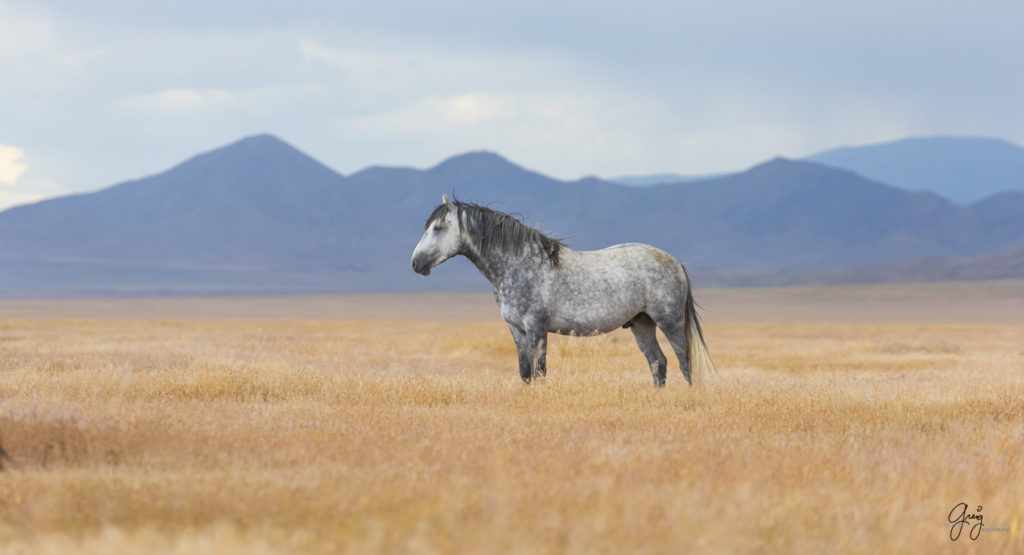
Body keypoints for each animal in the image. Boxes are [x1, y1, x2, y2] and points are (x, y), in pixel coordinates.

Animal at [411, 195, 716, 387]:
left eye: (438, 227)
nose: (415, 263)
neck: (520, 264)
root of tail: (675, 261)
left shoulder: (536, 327)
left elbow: (540, 370)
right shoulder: (516, 329)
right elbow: (525, 371)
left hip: (669, 322)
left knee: (684, 361)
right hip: (641, 324)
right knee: (658, 363)